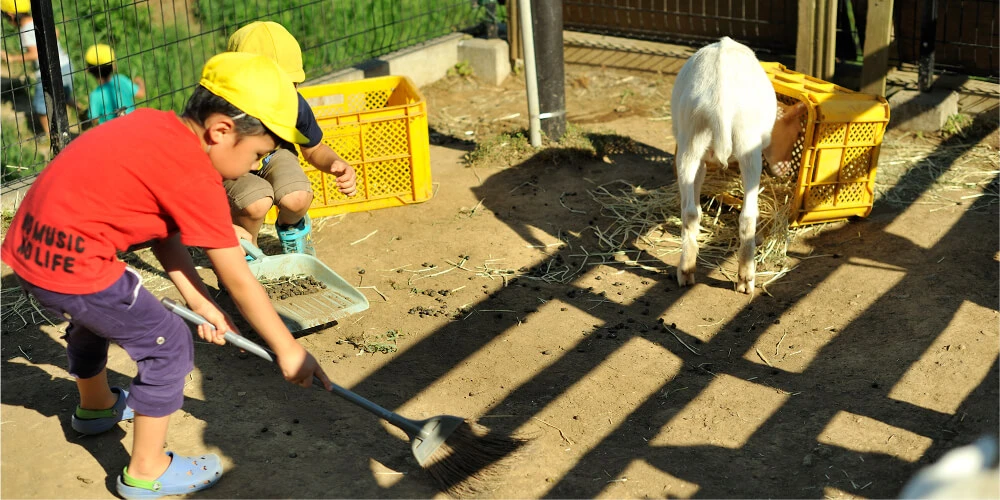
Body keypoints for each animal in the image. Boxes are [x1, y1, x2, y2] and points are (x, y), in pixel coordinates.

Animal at [670, 36, 806, 294]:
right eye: (794, 132)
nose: (784, 169)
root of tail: (720, 103)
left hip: (691, 139)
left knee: (690, 212)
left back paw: (686, 272)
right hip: (748, 144)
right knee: (748, 215)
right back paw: (746, 281)